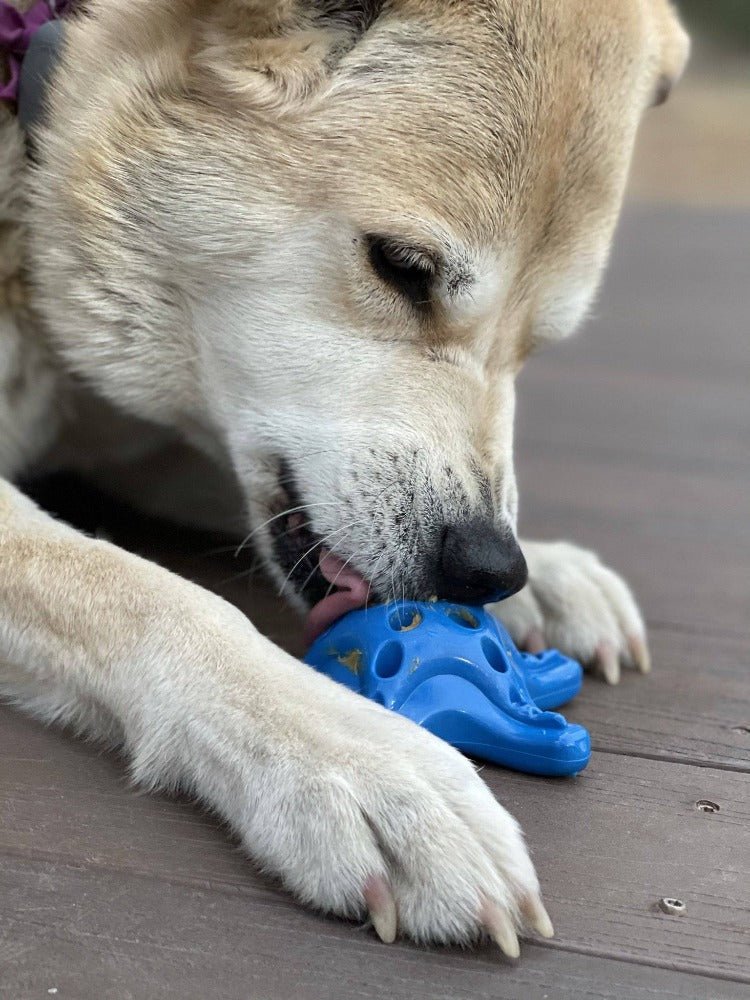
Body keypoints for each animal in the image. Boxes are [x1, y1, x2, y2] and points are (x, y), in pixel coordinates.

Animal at [1, 0, 692, 952]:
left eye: (539, 343)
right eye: (401, 267)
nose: (488, 568)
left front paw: (549, 576)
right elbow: (146, 591)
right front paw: (359, 761)